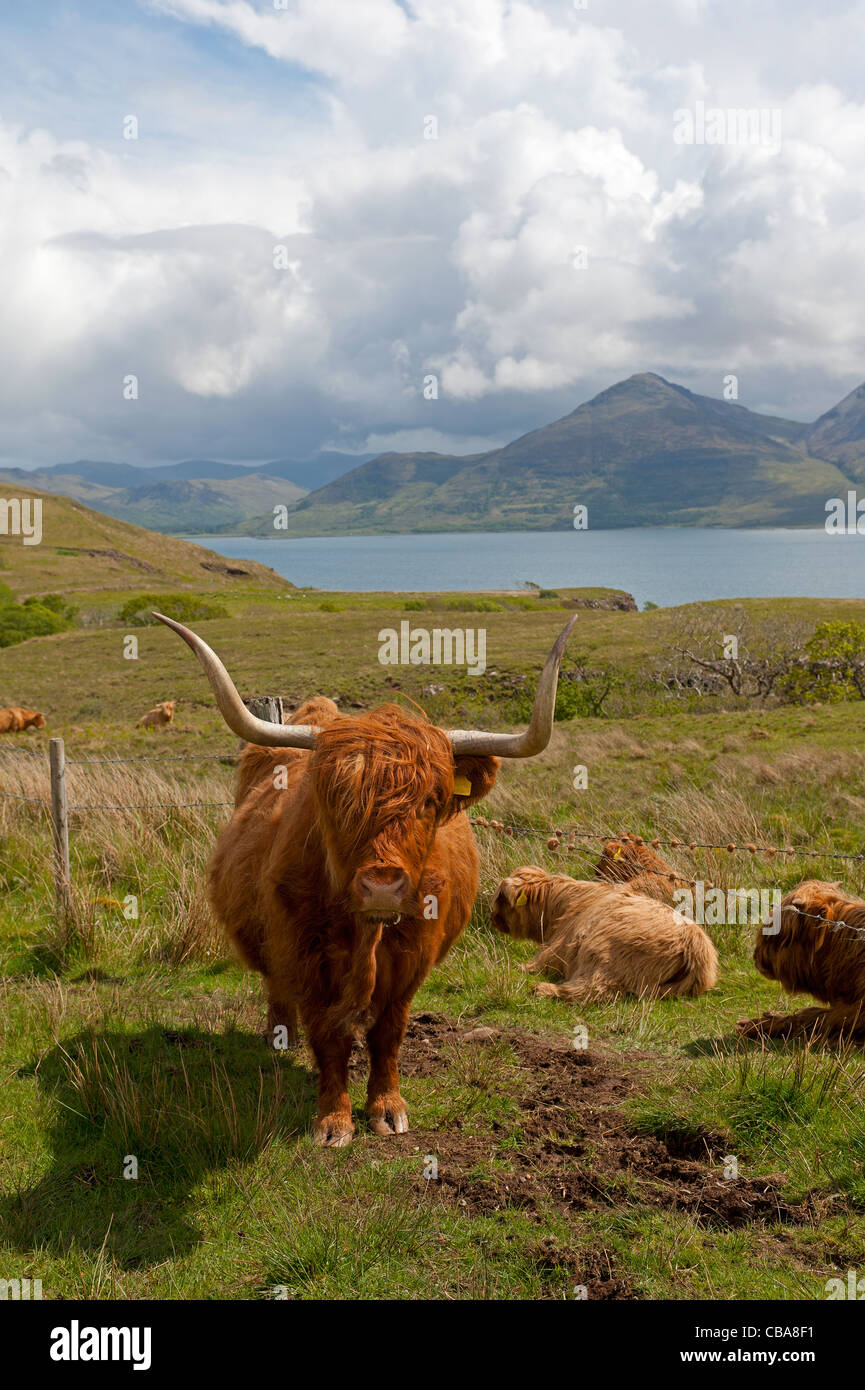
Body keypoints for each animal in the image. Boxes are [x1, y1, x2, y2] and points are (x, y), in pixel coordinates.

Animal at [155, 606, 575, 1139]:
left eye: (432, 800)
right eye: (334, 796)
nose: (382, 886)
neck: (365, 933)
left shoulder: (413, 962)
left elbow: (388, 1035)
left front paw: (387, 1108)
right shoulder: (304, 956)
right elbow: (328, 1037)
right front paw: (333, 1119)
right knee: (277, 991)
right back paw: (280, 1040)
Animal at [492, 867, 723, 1000]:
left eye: (501, 899)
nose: (493, 918)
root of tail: (695, 943)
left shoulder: (558, 947)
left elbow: (539, 963)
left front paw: (521, 968)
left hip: (601, 951)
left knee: (592, 989)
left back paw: (544, 989)